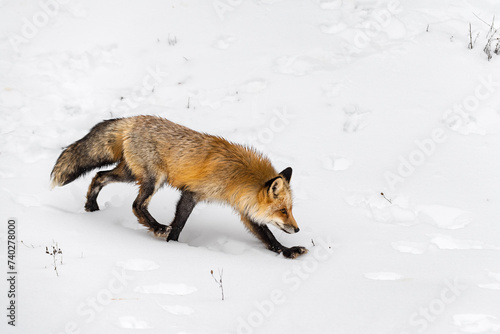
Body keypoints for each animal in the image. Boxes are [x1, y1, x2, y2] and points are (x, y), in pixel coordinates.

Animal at [51, 115, 308, 258]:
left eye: (290, 209)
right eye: (283, 211)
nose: (297, 229)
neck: (237, 176)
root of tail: (133, 119)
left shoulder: (243, 209)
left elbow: (268, 237)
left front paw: (287, 251)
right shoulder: (192, 192)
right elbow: (179, 223)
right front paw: (172, 246)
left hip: (129, 174)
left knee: (98, 177)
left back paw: (91, 208)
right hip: (154, 179)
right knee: (136, 205)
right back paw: (156, 227)